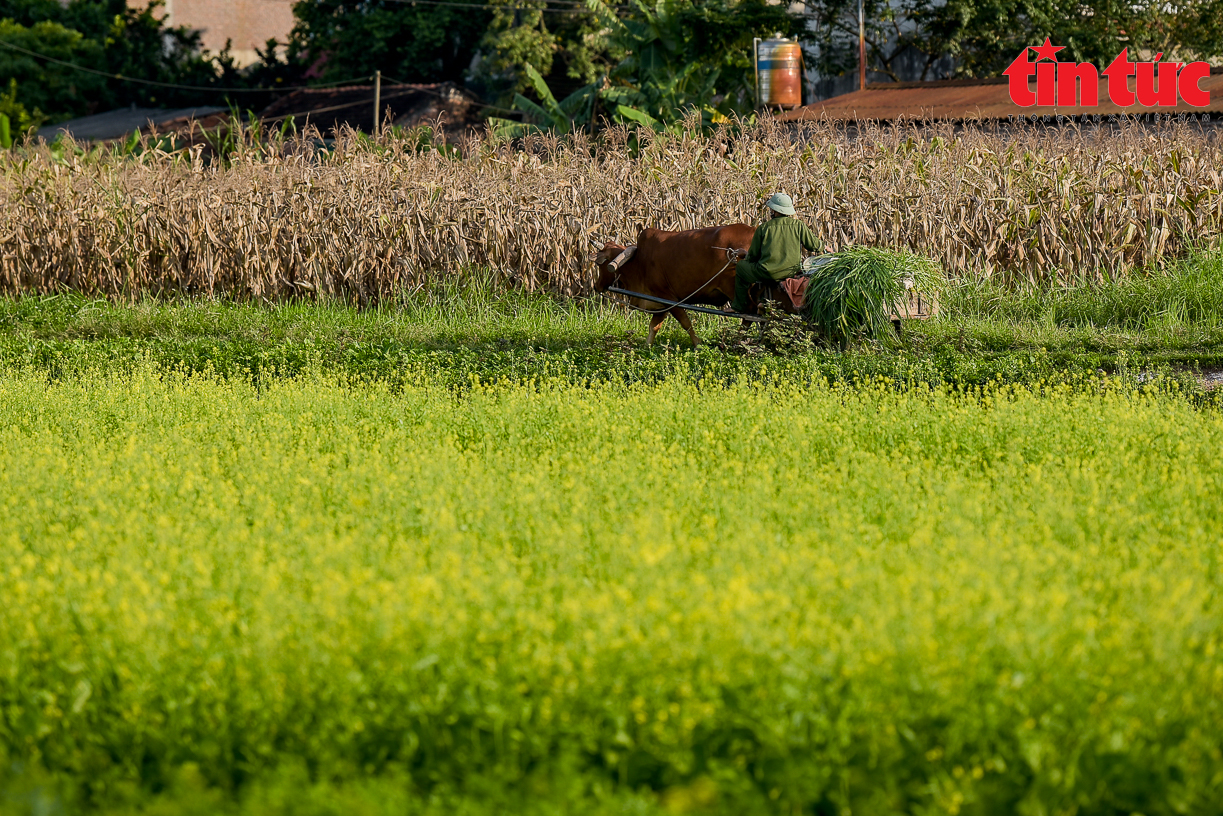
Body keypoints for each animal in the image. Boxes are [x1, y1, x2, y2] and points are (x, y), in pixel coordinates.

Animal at [591, 225, 753, 347]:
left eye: (600, 264)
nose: (596, 286)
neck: (637, 262)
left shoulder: (669, 298)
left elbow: (686, 323)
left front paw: (698, 344)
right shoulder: (659, 302)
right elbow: (653, 326)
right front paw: (647, 346)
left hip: (736, 291)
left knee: (748, 316)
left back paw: (737, 341)